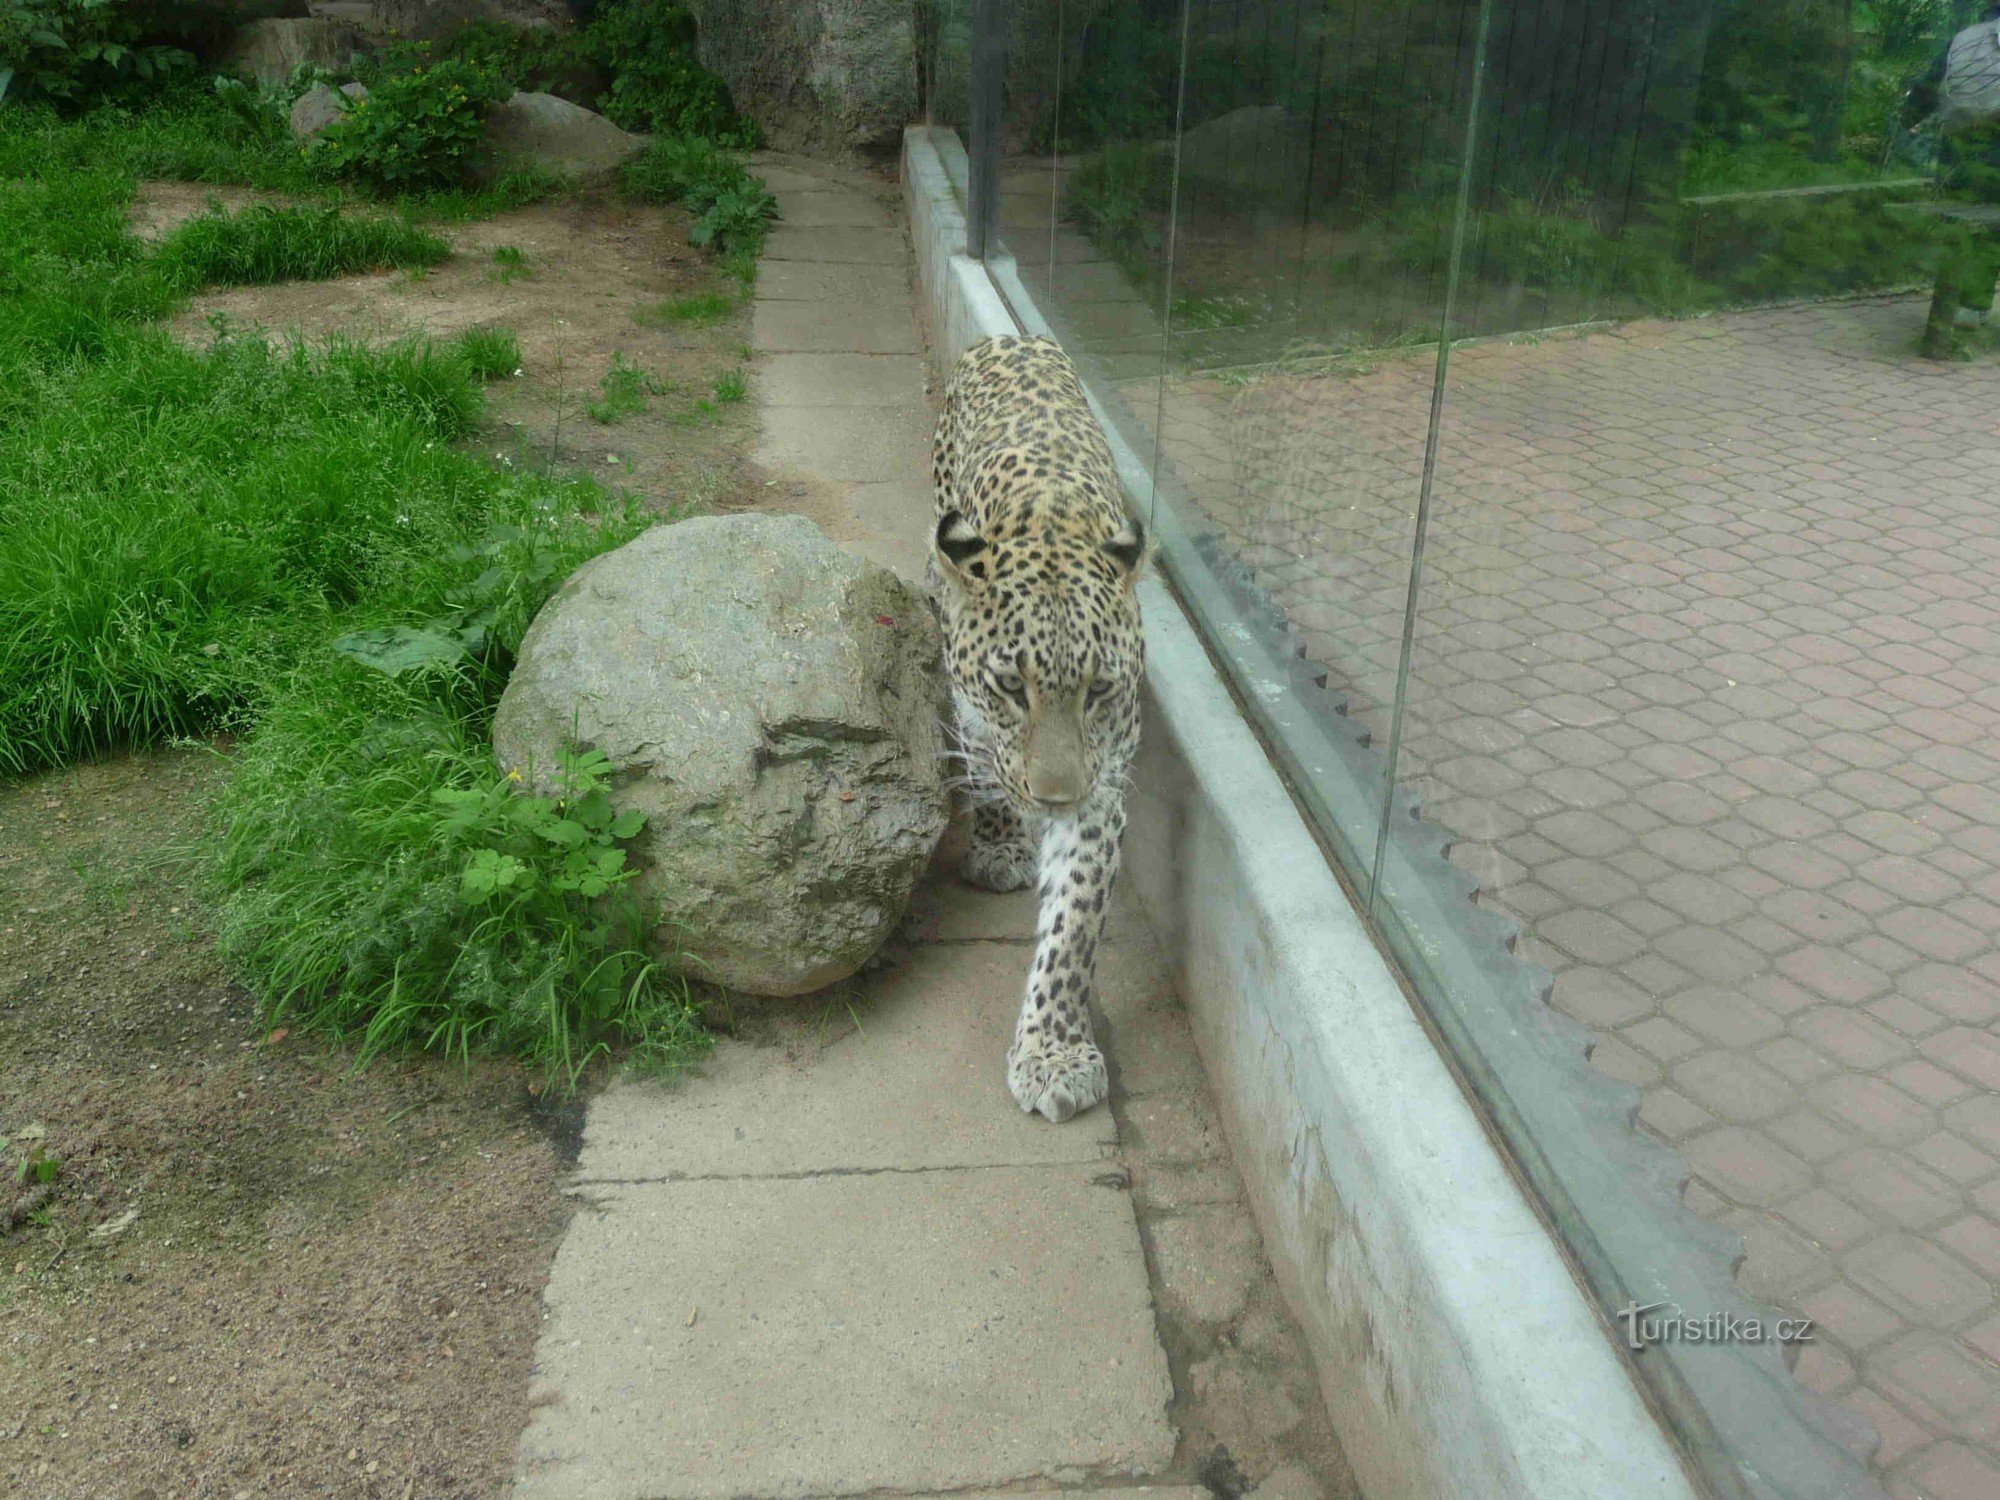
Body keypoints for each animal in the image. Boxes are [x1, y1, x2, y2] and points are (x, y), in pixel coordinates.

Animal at [928, 332, 1152, 1128]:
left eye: (1099, 691)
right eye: (1009, 688)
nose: (1053, 799)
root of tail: (1011, 337)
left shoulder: (1103, 783)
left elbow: (1074, 922)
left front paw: (1053, 1052)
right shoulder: (975, 712)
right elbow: (988, 765)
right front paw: (1000, 845)